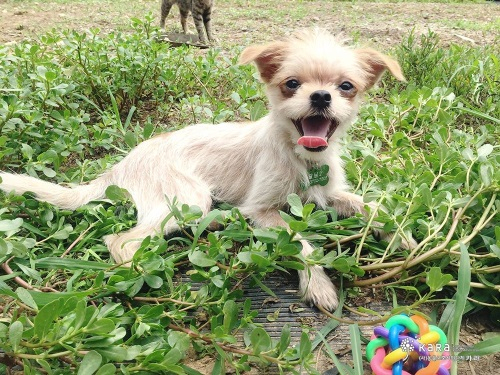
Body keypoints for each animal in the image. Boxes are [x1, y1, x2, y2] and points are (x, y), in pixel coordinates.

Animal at [0, 29, 404, 312]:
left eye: (346, 86)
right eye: (291, 84)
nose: (320, 96)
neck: (303, 158)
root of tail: (122, 165)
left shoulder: (329, 193)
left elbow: (372, 207)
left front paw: (401, 236)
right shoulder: (262, 209)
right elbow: (300, 241)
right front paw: (317, 285)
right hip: (187, 197)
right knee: (121, 241)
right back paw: (143, 275)